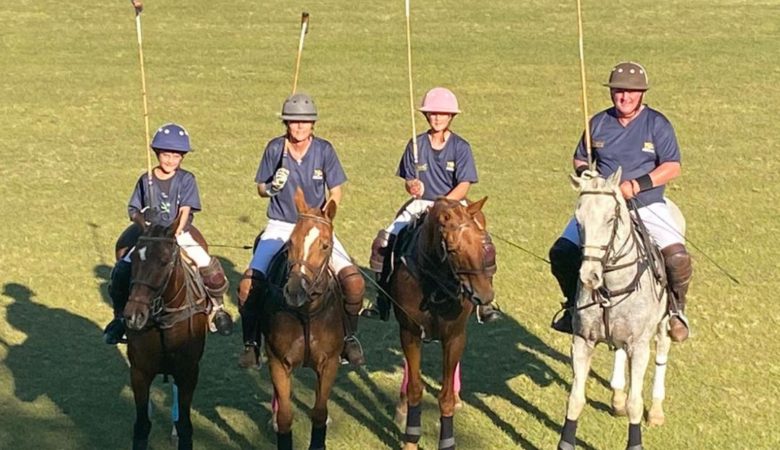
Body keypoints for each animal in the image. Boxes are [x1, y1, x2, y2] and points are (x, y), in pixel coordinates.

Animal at [123, 215, 207, 450]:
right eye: (134, 259)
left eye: (163, 261)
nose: (133, 316)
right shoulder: (139, 372)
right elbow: (142, 425)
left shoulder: (189, 372)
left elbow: (185, 426)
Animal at [262, 190, 348, 450]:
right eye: (291, 243)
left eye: (325, 245)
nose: (294, 291)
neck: (308, 311)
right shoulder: (278, 362)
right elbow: (285, 416)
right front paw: (278, 422)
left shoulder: (329, 363)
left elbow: (319, 412)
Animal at [388, 197, 494, 450]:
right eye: (453, 249)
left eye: (482, 244)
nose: (485, 295)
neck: (435, 282)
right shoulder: (409, 332)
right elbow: (415, 387)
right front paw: (410, 439)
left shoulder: (455, 337)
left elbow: (444, 398)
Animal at [556, 169, 680, 450]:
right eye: (578, 220)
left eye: (610, 219)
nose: (589, 276)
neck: (611, 285)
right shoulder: (582, 340)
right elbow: (575, 399)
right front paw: (566, 442)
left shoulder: (640, 345)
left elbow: (636, 403)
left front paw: (635, 442)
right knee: (619, 351)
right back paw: (617, 397)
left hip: (663, 323)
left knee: (662, 353)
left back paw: (656, 410)